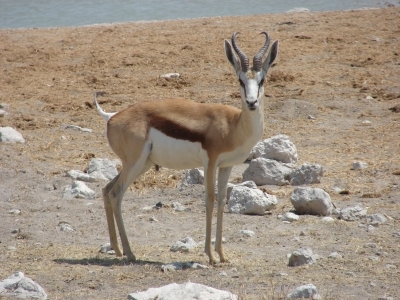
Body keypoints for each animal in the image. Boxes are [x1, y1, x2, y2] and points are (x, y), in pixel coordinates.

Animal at [95, 31, 280, 264]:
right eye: (240, 79)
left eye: (262, 79)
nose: (252, 102)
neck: (234, 125)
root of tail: (112, 117)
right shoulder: (210, 163)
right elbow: (209, 200)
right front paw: (210, 255)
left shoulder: (226, 166)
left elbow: (222, 202)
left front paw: (222, 255)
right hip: (134, 164)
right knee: (115, 194)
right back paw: (129, 253)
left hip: (142, 164)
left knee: (106, 189)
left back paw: (118, 250)